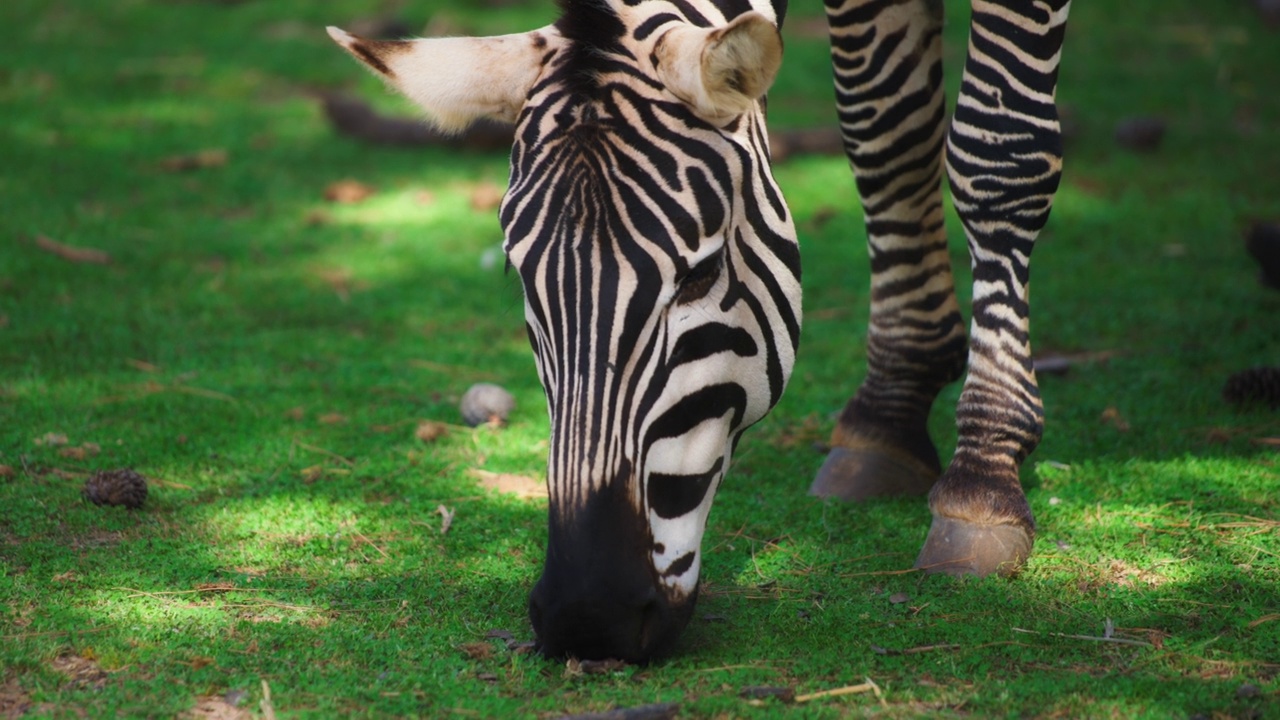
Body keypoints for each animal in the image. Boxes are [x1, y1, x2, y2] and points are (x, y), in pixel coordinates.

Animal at [330, 0, 1070, 661]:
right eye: (519, 277)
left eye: (702, 272)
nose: (586, 619)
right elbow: (885, 134)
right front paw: (889, 411)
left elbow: (998, 155)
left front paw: (984, 472)